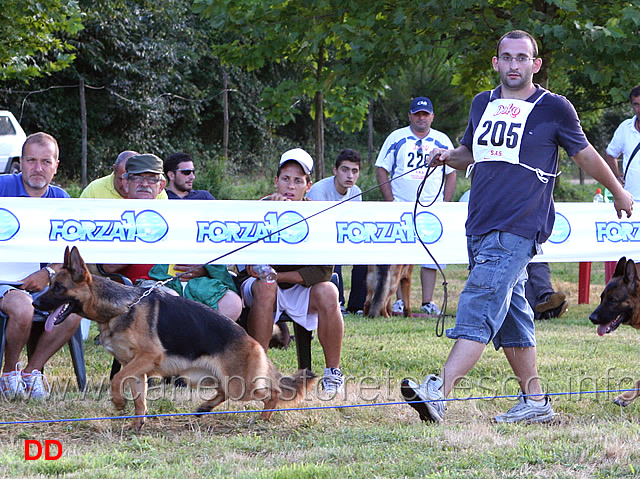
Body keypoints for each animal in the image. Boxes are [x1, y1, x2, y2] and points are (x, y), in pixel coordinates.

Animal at [34, 248, 316, 432]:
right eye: (51, 285)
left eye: (58, 288)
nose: (34, 302)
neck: (121, 307)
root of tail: (252, 340)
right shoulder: (135, 368)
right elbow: (139, 399)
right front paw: (137, 424)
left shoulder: (146, 358)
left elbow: (116, 380)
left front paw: (118, 402)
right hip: (211, 378)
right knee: (225, 391)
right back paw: (204, 407)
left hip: (241, 385)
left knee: (273, 391)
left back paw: (263, 418)